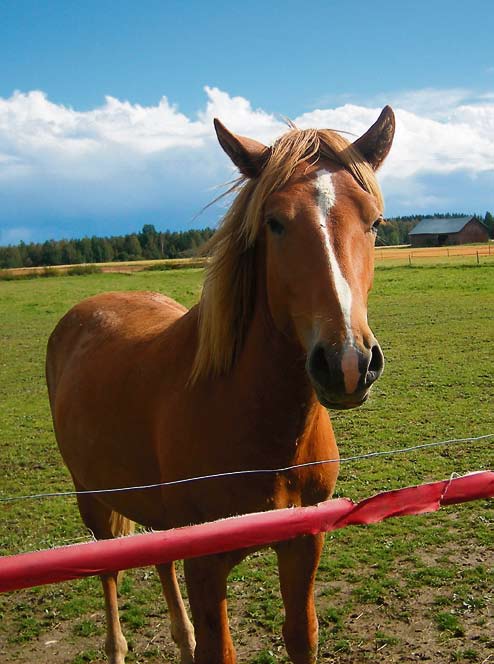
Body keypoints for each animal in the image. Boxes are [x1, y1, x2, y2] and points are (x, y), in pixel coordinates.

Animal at [45, 105, 394, 664]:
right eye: (275, 222)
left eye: (375, 222)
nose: (347, 363)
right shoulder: (206, 567)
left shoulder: (304, 544)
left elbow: (301, 635)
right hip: (93, 501)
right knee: (109, 570)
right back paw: (118, 647)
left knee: (159, 563)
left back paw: (180, 639)